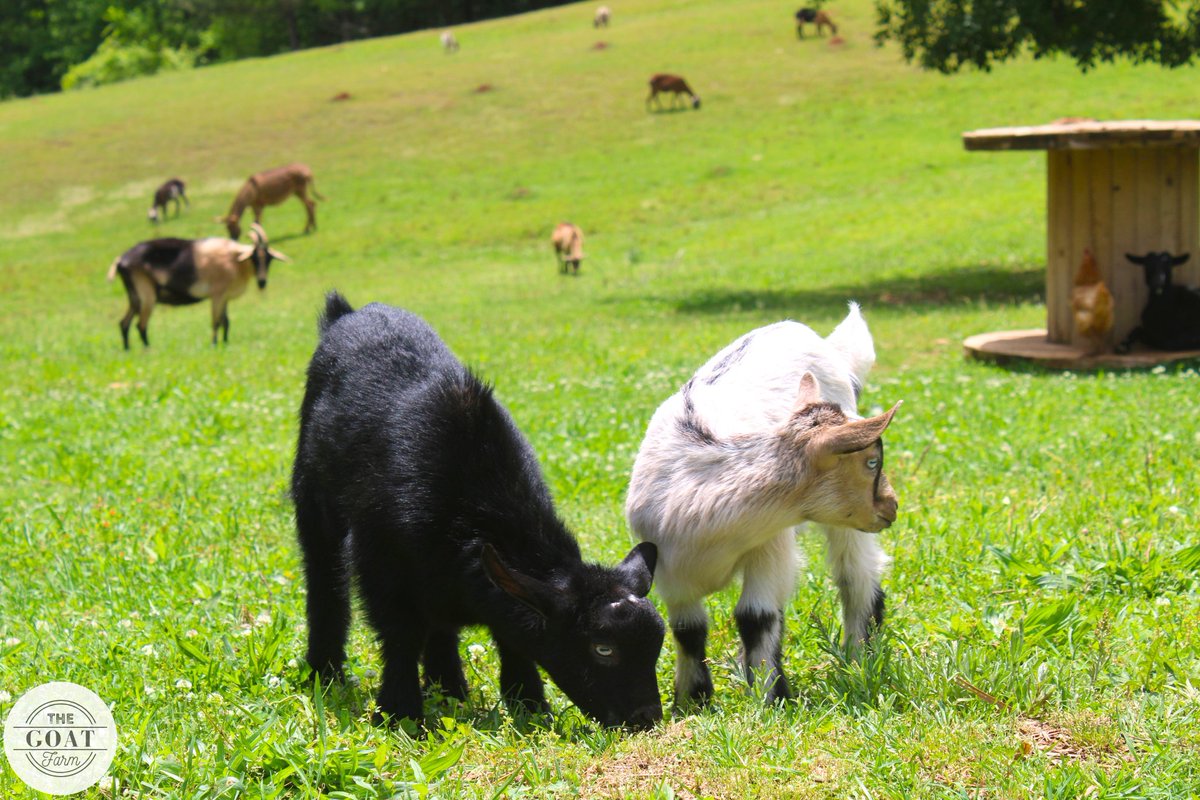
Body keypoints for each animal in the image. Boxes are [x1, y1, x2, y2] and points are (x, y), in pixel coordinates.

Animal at [290, 293, 667, 734]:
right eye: (602, 648)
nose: (646, 718)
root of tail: (349, 313)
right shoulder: (380, 567)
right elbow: (401, 636)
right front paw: (400, 714)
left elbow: (509, 637)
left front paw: (529, 705)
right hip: (314, 503)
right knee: (324, 580)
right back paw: (325, 672)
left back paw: (449, 688)